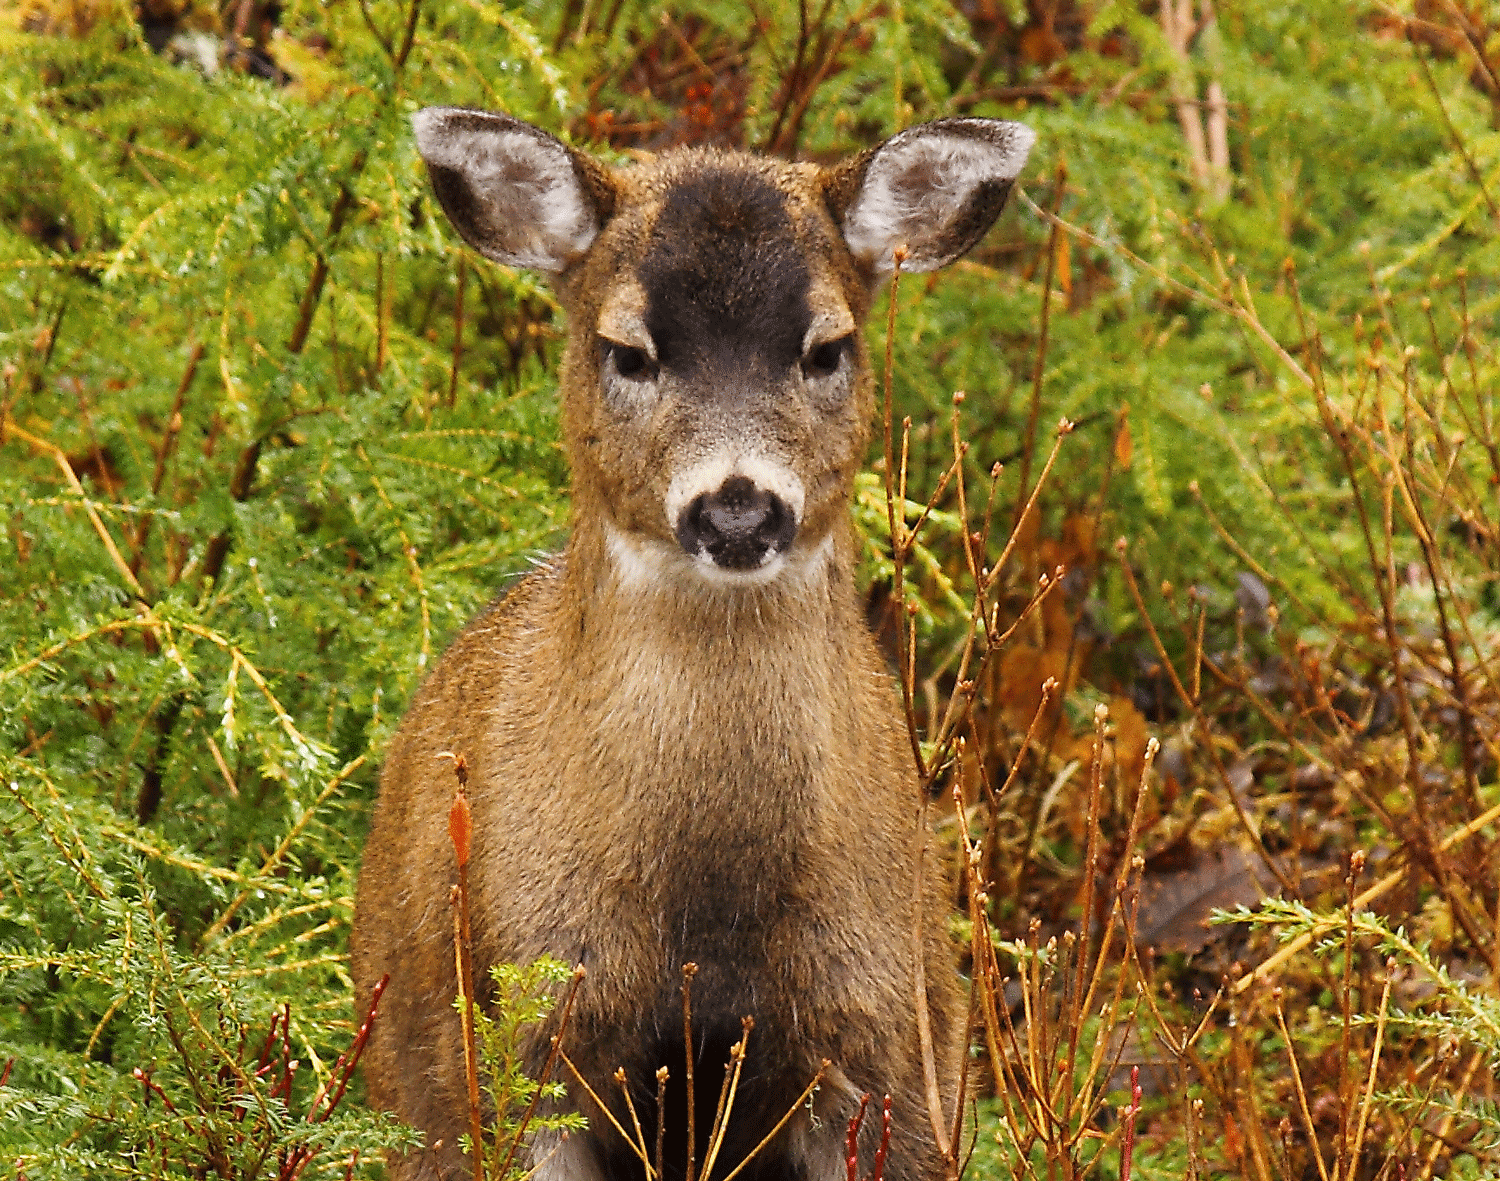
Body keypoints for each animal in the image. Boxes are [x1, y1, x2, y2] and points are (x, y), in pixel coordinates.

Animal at [351, 108, 1032, 1181]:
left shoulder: (893, 1041)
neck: (705, 920)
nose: (740, 509)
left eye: (827, 346)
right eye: (627, 350)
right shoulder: (516, 1039)